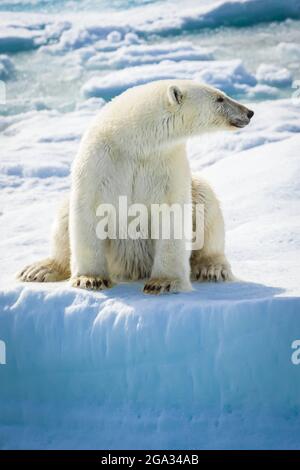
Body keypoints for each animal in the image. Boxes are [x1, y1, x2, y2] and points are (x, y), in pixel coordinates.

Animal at [18, 80, 253, 294]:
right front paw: (90, 279)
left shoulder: (167, 164)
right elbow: (88, 209)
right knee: (63, 216)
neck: (135, 142)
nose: (249, 112)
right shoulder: (100, 162)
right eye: (219, 98)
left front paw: (163, 283)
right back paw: (38, 270)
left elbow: (171, 215)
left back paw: (211, 268)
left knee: (206, 201)